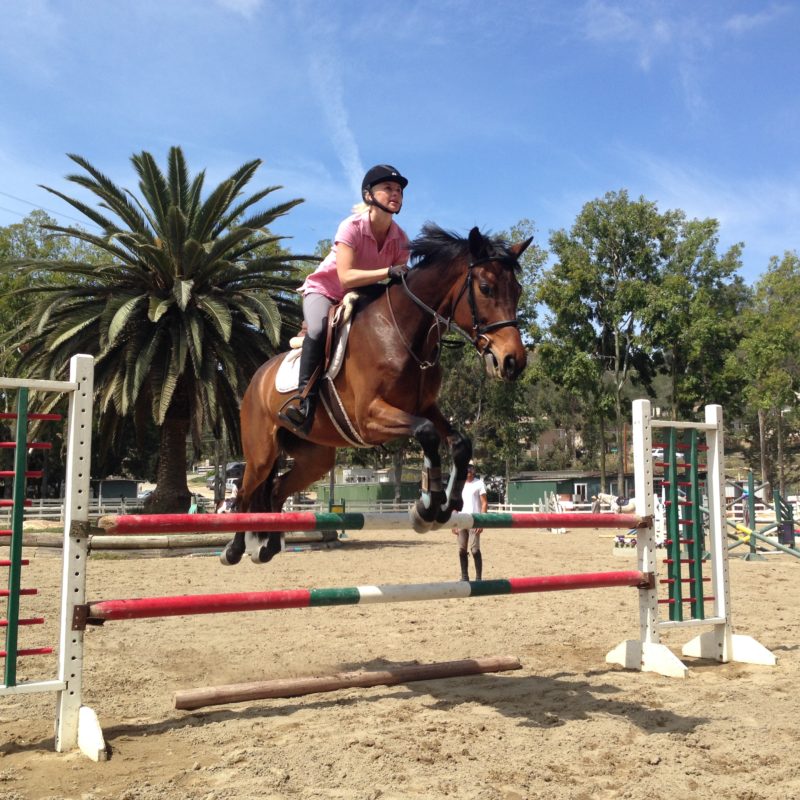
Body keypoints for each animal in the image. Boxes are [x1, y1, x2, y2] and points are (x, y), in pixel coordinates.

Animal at [221, 223, 532, 566]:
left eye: (517, 290)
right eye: (486, 288)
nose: (513, 361)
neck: (403, 333)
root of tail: (257, 378)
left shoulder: (425, 406)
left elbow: (460, 443)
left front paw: (447, 505)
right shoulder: (369, 418)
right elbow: (427, 434)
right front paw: (428, 506)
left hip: (315, 458)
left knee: (276, 489)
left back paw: (269, 546)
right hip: (261, 452)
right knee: (246, 492)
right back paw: (234, 549)